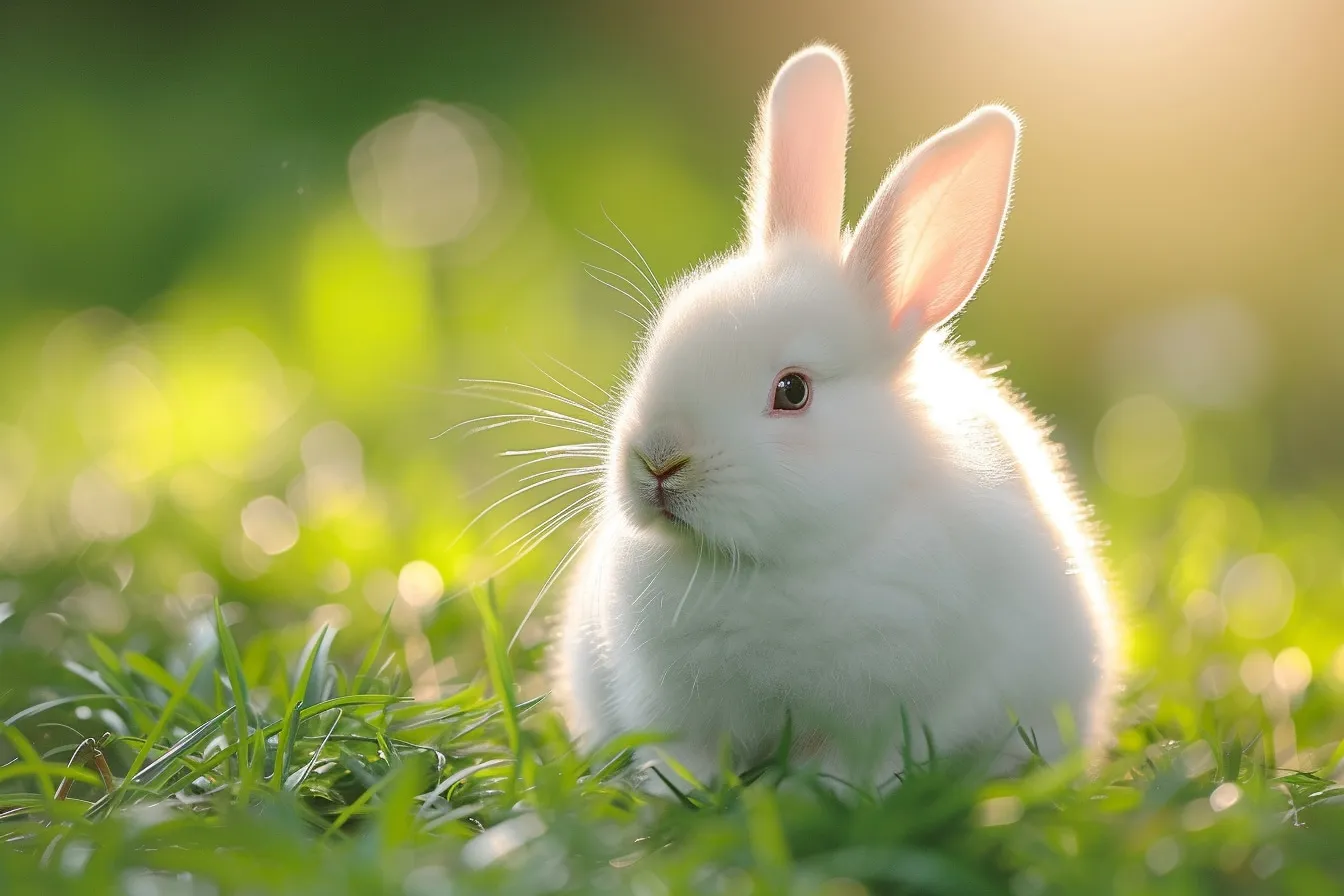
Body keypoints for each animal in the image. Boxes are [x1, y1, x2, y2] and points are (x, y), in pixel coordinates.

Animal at [549, 43, 1120, 792]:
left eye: (792, 392)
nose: (658, 460)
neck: (767, 566)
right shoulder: (675, 712)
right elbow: (687, 759)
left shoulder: (897, 711)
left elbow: (850, 765)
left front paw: (812, 793)